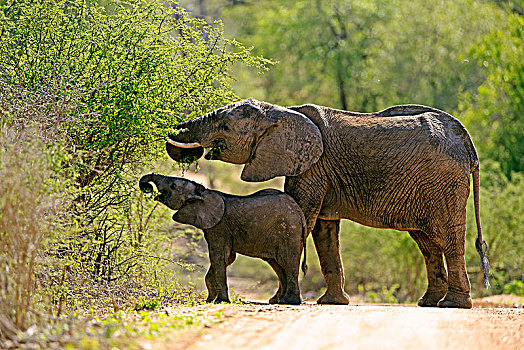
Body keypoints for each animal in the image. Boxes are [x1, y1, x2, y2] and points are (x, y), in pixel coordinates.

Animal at [139, 174, 310, 304]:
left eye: (173, 186)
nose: (147, 187)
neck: (204, 192)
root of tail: (300, 213)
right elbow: (227, 258)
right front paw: (210, 300)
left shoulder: (219, 227)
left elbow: (218, 256)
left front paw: (220, 301)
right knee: (278, 265)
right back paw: (278, 301)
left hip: (289, 231)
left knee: (288, 262)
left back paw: (289, 302)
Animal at [166, 97, 490, 308]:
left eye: (225, 126)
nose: (189, 150)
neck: (282, 112)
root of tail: (468, 144)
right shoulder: (316, 169)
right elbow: (323, 230)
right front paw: (331, 303)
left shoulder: (313, 166)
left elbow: (302, 219)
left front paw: (281, 301)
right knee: (427, 242)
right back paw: (428, 303)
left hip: (444, 184)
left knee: (448, 238)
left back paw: (454, 305)